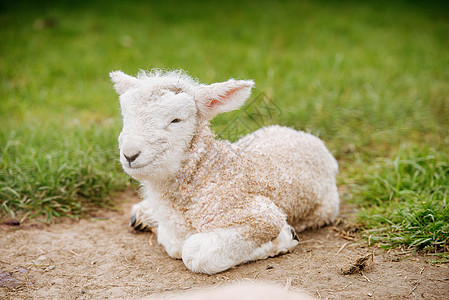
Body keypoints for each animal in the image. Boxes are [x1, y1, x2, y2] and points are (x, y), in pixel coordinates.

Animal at [109, 69, 340, 274]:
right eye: (125, 117)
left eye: (176, 120)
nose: (130, 154)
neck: (208, 173)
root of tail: (308, 137)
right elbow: (173, 243)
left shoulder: (260, 215)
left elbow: (193, 253)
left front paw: (284, 238)